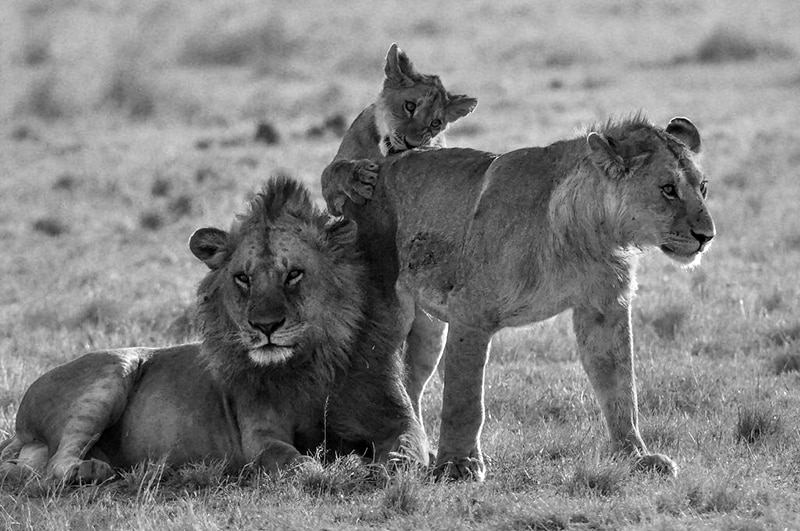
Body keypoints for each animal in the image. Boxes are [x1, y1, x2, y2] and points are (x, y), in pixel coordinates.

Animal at [0, 179, 428, 486]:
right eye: (243, 278)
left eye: (294, 274)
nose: (265, 326)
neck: (310, 364)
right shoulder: (259, 436)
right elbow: (293, 461)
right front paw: (329, 471)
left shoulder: (398, 419)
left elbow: (409, 449)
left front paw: (388, 468)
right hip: (111, 371)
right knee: (55, 464)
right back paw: (88, 471)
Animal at [320, 41, 482, 424]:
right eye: (409, 105)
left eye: (436, 123)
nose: (410, 142)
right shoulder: (332, 197)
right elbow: (335, 171)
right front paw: (358, 177)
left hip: (431, 333)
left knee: (410, 383)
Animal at [328, 116, 716, 482]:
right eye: (668, 189)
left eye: (702, 187)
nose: (707, 236)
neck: (589, 233)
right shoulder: (471, 313)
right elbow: (464, 398)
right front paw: (457, 465)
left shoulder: (604, 308)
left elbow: (620, 386)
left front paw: (636, 455)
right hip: (389, 309)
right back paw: (396, 454)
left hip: (429, 330)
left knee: (410, 381)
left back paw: (417, 449)